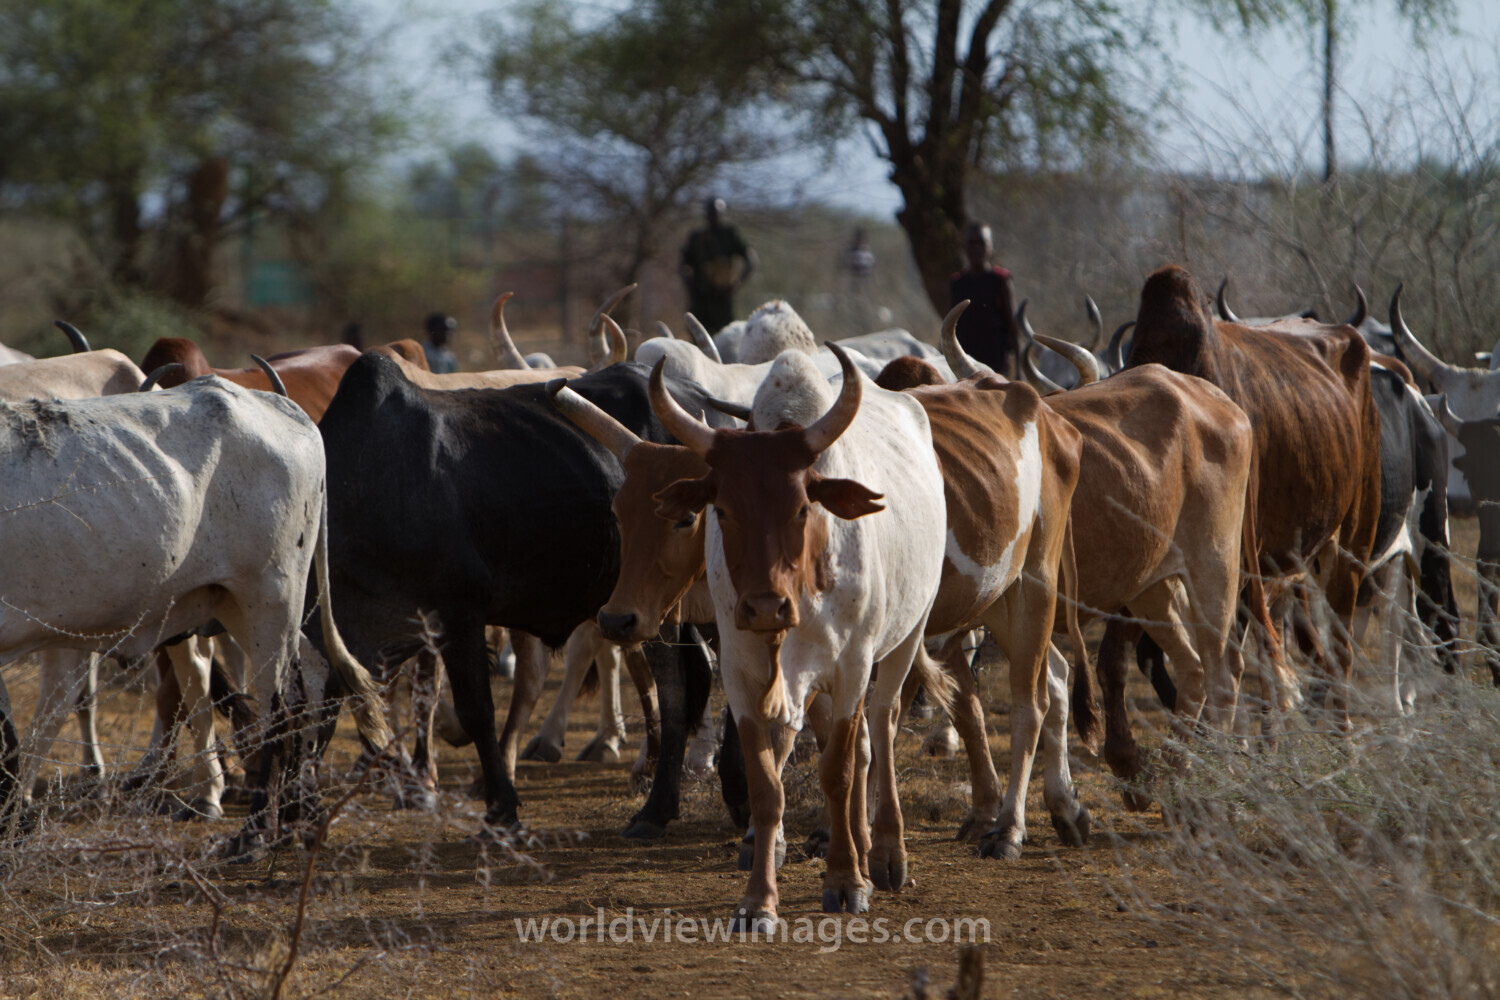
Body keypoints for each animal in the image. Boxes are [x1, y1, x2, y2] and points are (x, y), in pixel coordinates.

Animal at [0, 377, 390, 842]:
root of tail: (285, 408)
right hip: (232, 601)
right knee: (310, 675)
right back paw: (299, 810)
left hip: (272, 594)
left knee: (280, 708)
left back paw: (256, 833)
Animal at [307, 352, 737, 836]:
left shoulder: (458, 616)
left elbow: (475, 710)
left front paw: (501, 809)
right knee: (688, 677)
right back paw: (663, 798)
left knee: (679, 684)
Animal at [645, 345, 949, 925]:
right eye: (721, 509)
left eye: (803, 507)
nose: (766, 606)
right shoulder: (742, 675)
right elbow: (768, 786)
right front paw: (758, 900)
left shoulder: (852, 667)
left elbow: (838, 773)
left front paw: (846, 881)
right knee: (846, 741)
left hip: (906, 635)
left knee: (880, 729)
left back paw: (884, 853)